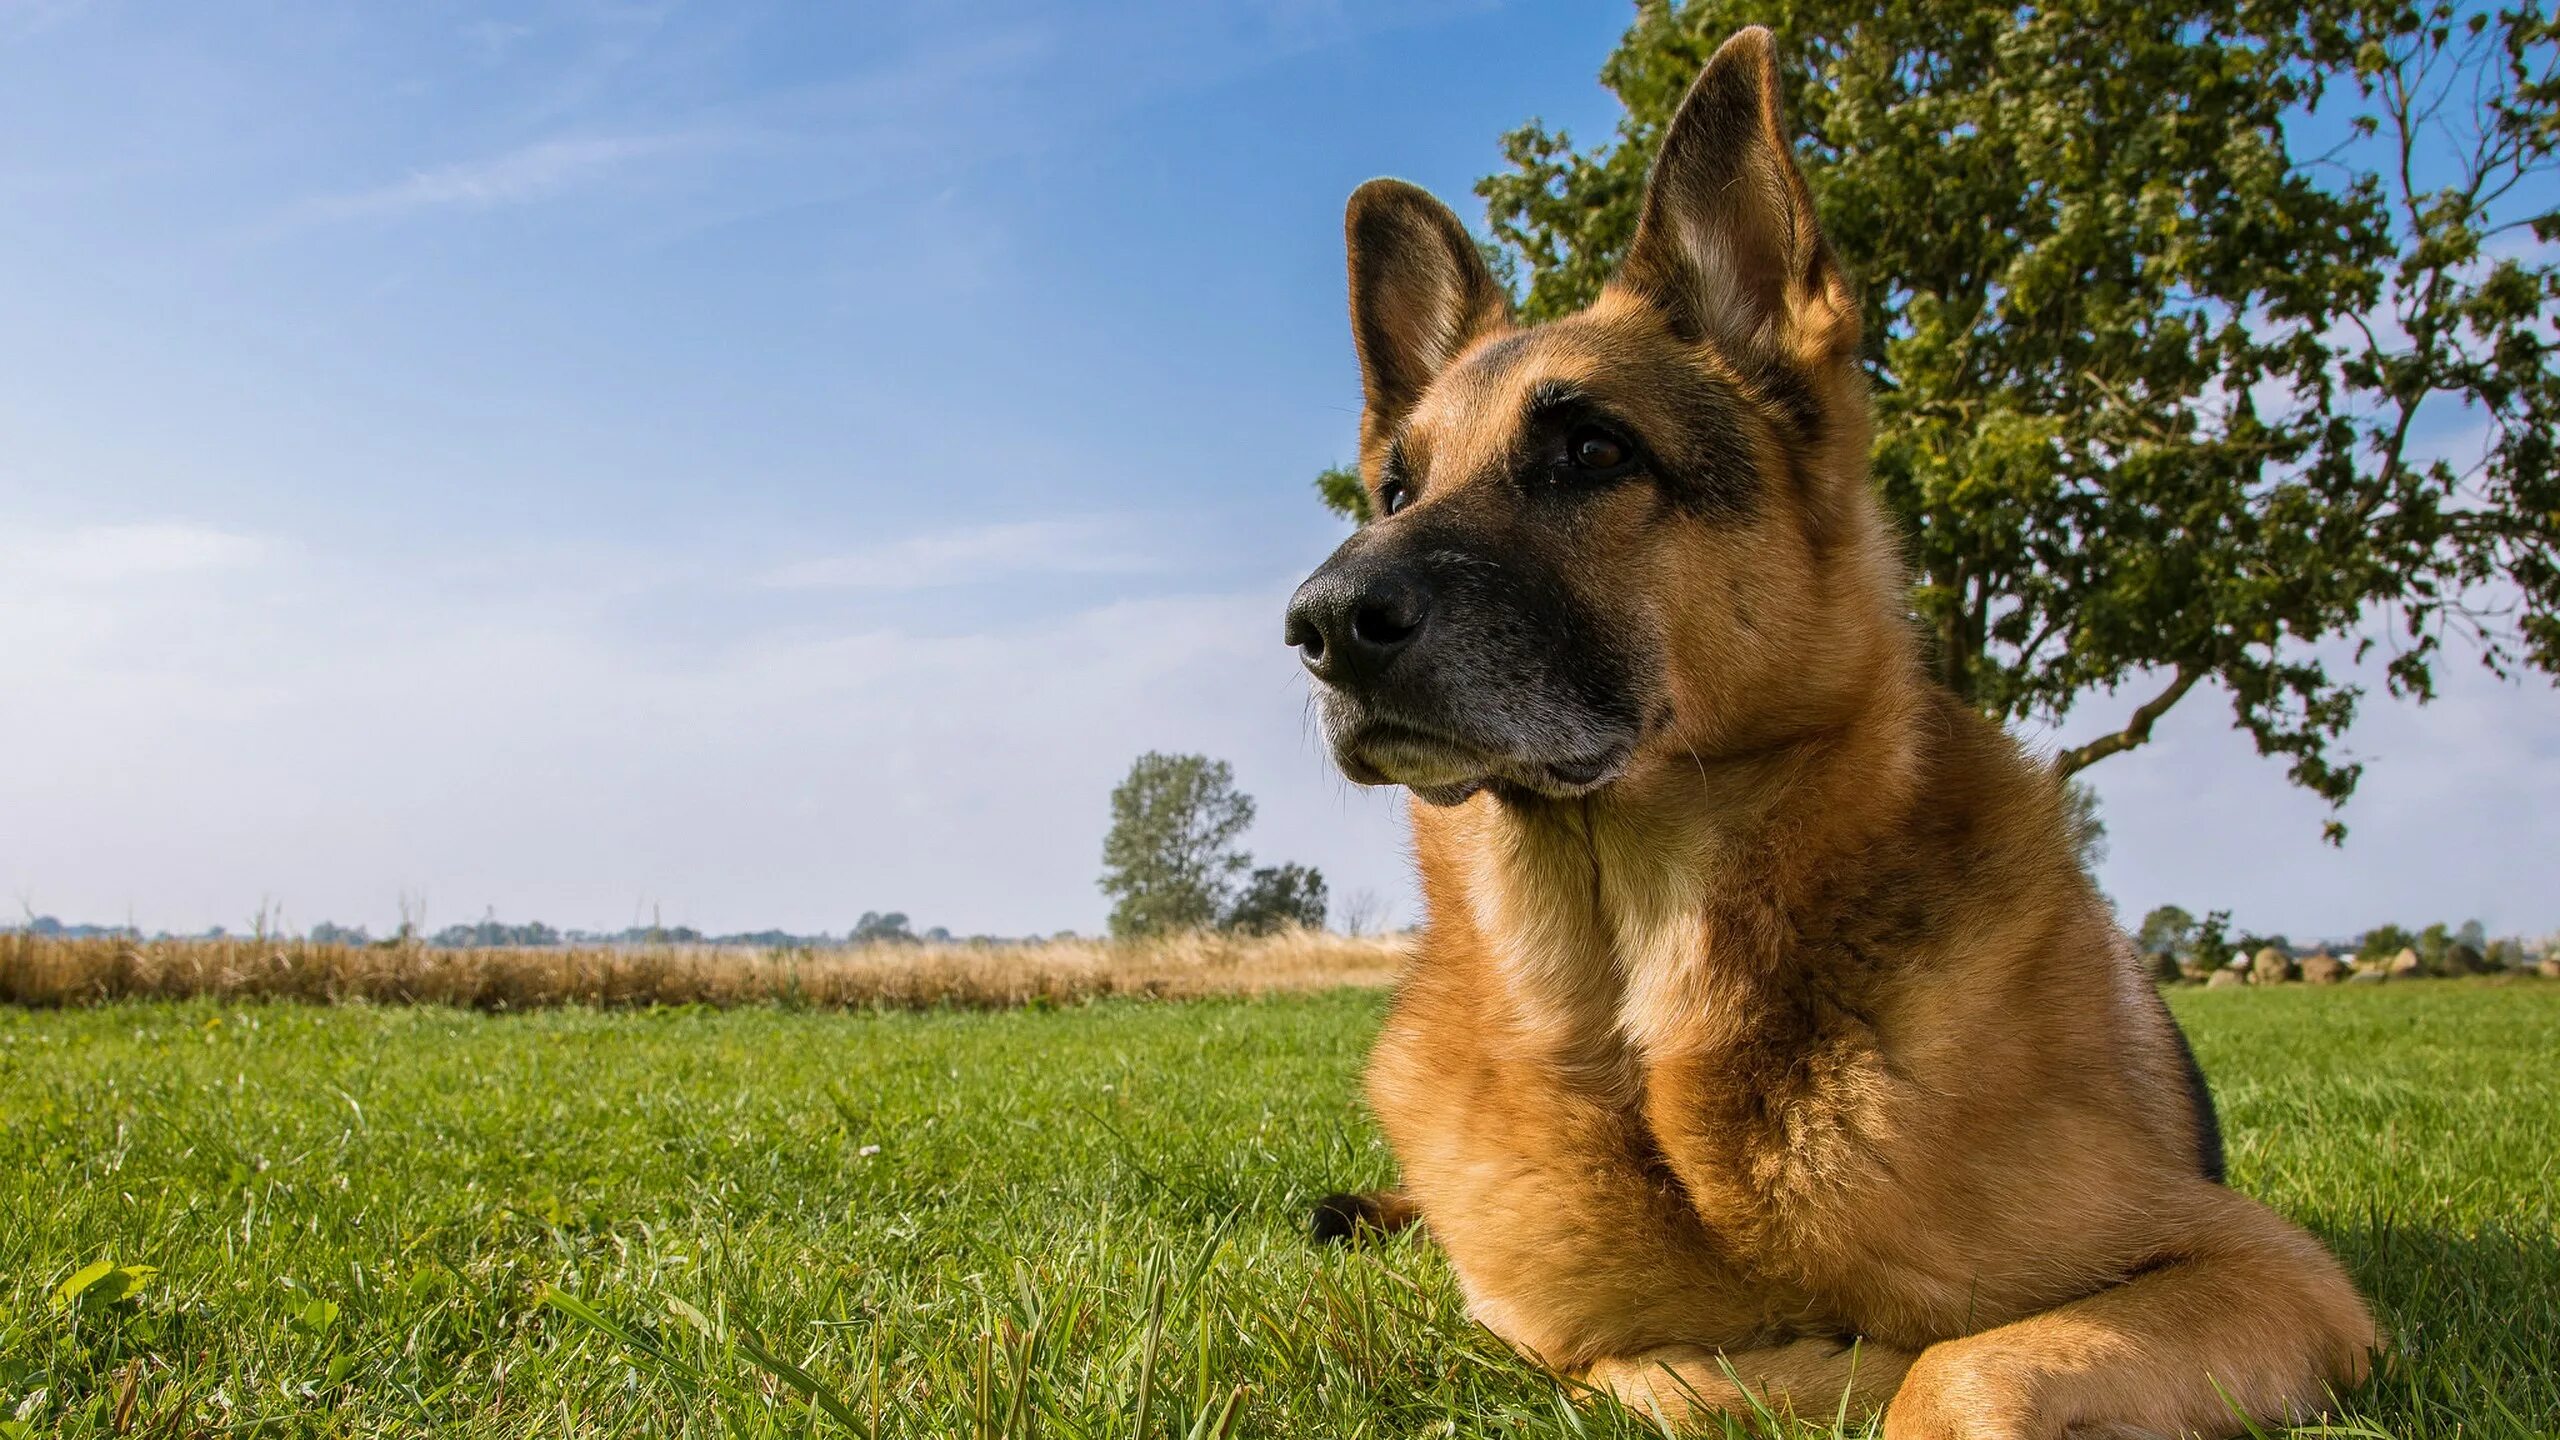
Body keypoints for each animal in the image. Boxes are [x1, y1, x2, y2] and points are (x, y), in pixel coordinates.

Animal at [1280, 25, 2375, 1434]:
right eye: (1393, 491)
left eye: (1592, 449)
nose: (1319, 622)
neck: (1641, 1027)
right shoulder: (1558, 1335)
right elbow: (1656, 1367)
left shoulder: (2269, 1268)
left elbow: (1963, 1363)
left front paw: (1862, 1367)